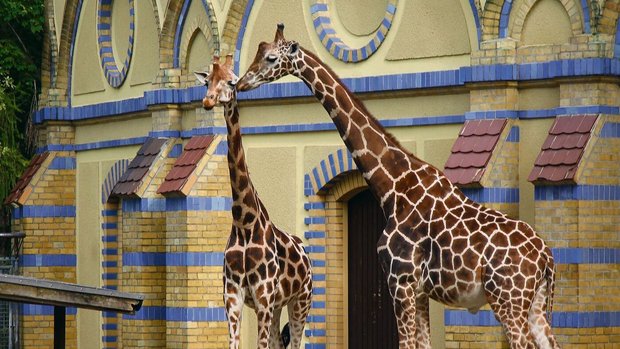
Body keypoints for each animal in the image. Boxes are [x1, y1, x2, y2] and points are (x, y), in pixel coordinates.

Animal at [196, 54, 312, 348]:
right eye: (208, 80)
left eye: (231, 81)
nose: (208, 101)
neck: (244, 222)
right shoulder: (233, 297)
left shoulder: (263, 297)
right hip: (279, 305)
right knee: (278, 342)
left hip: (301, 301)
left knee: (296, 341)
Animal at [235, 25, 560, 348]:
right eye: (258, 52)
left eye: (270, 58)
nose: (241, 82)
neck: (393, 186)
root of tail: (547, 257)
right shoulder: (420, 291)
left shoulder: (399, 280)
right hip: (535, 304)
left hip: (508, 299)